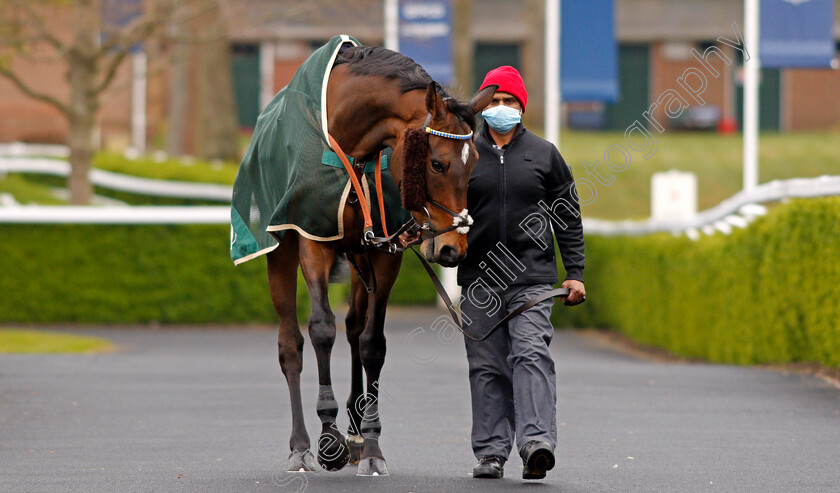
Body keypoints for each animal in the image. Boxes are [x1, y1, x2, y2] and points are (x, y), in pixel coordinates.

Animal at [266, 43, 496, 476]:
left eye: (475, 161)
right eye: (437, 163)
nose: (452, 249)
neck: (350, 148)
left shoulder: (382, 249)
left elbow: (372, 343)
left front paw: (371, 445)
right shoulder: (313, 238)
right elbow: (321, 328)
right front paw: (327, 437)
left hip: (360, 256)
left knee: (355, 328)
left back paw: (355, 434)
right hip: (281, 255)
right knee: (291, 344)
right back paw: (300, 445)